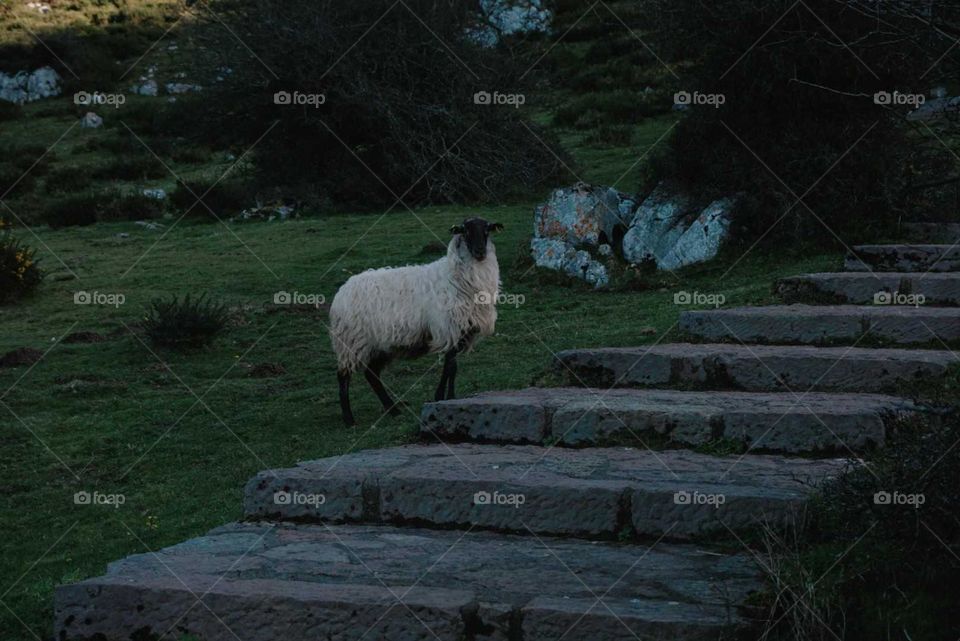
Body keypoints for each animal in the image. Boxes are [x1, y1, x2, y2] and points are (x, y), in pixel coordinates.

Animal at [329, 217, 504, 426]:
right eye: (466, 231)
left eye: (487, 230)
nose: (480, 252)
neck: (455, 276)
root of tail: (342, 291)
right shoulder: (449, 329)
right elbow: (450, 367)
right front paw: (444, 397)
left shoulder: (461, 331)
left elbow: (451, 368)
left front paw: (447, 397)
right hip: (350, 341)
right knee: (343, 376)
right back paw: (349, 419)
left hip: (378, 345)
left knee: (372, 375)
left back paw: (393, 410)